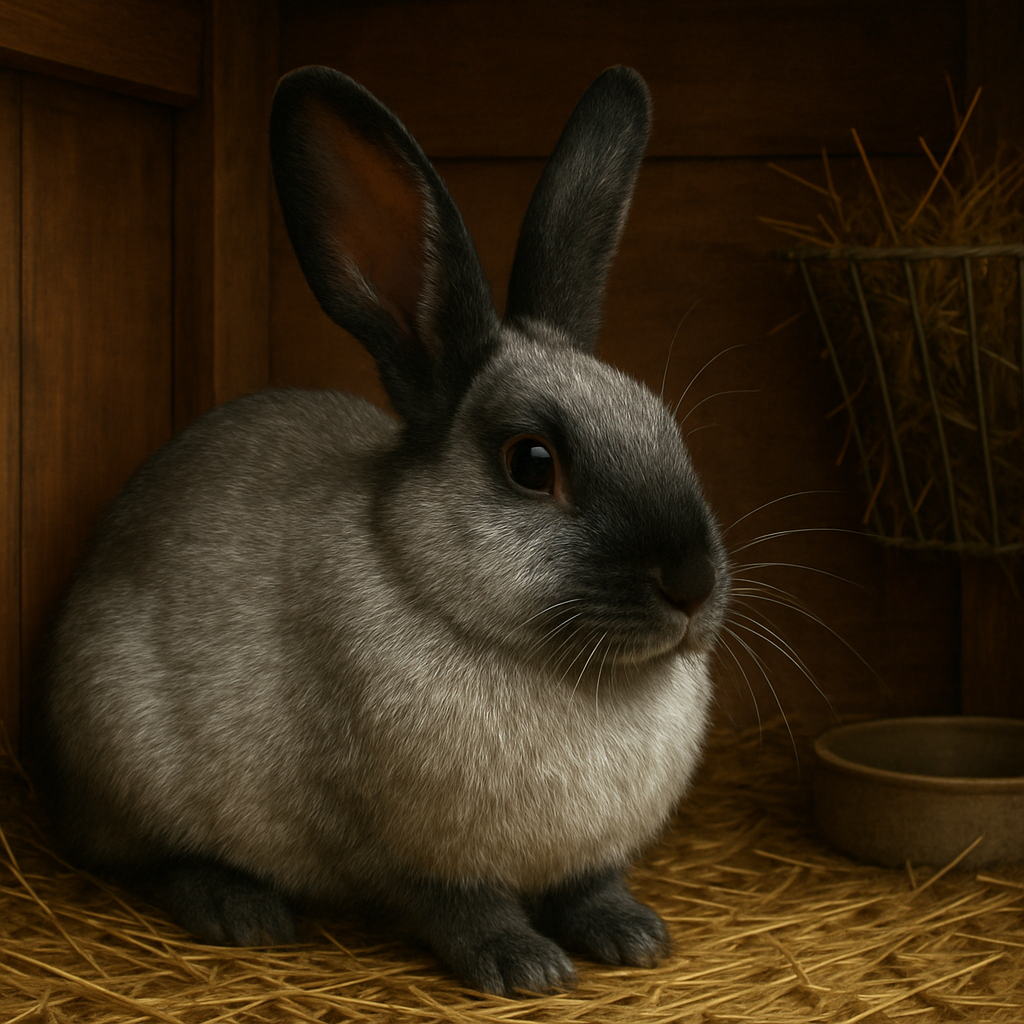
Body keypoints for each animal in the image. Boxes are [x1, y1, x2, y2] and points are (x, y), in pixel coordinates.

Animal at [28, 64, 730, 997]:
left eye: (662, 422)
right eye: (531, 462)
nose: (691, 584)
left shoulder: (585, 854)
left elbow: (590, 886)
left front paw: (633, 935)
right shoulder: (415, 854)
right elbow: (460, 907)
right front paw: (525, 967)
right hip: (127, 752)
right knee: (150, 860)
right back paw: (241, 911)